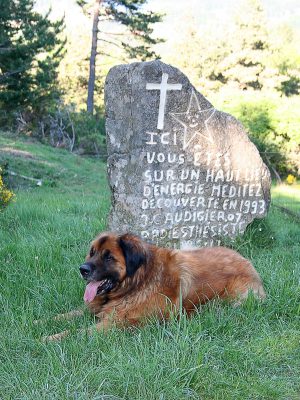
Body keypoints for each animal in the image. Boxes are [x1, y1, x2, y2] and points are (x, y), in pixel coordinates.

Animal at [44, 231, 264, 340]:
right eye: (92, 253)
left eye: (108, 257)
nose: (82, 269)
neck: (137, 282)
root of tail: (248, 263)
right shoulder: (93, 308)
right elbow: (61, 316)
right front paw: (39, 323)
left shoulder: (119, 323)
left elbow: (74, 332)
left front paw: (45, 340)